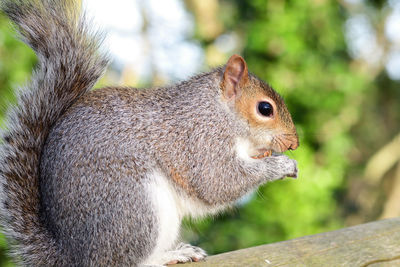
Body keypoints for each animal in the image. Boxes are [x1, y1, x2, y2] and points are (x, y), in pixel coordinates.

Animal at [0, 1, 296, 266]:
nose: (294, 143)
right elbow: (217, 181)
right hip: (136, 208)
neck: (219, 110)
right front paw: (281, 165)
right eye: (265, 108)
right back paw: (169, 255)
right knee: (127, 261)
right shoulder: (201, 140)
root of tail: (72, 256)